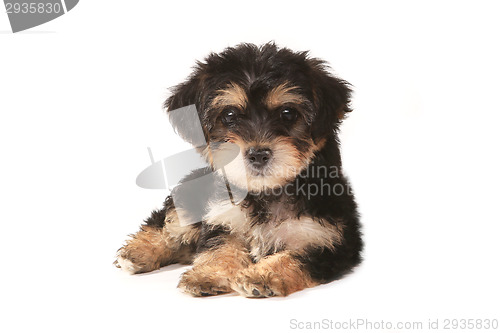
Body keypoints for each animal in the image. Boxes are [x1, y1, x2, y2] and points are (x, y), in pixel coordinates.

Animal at [115, 43, 362, 296]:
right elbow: (220, 245)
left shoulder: (327, 239)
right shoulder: (222, 216)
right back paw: (138, 252)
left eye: (288, 113)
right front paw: (209, 273)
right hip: (191, 196)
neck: (266, 192)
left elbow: (297, 256)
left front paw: (263, 275)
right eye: (229, 115)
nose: (258, 154)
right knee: (171, 221)